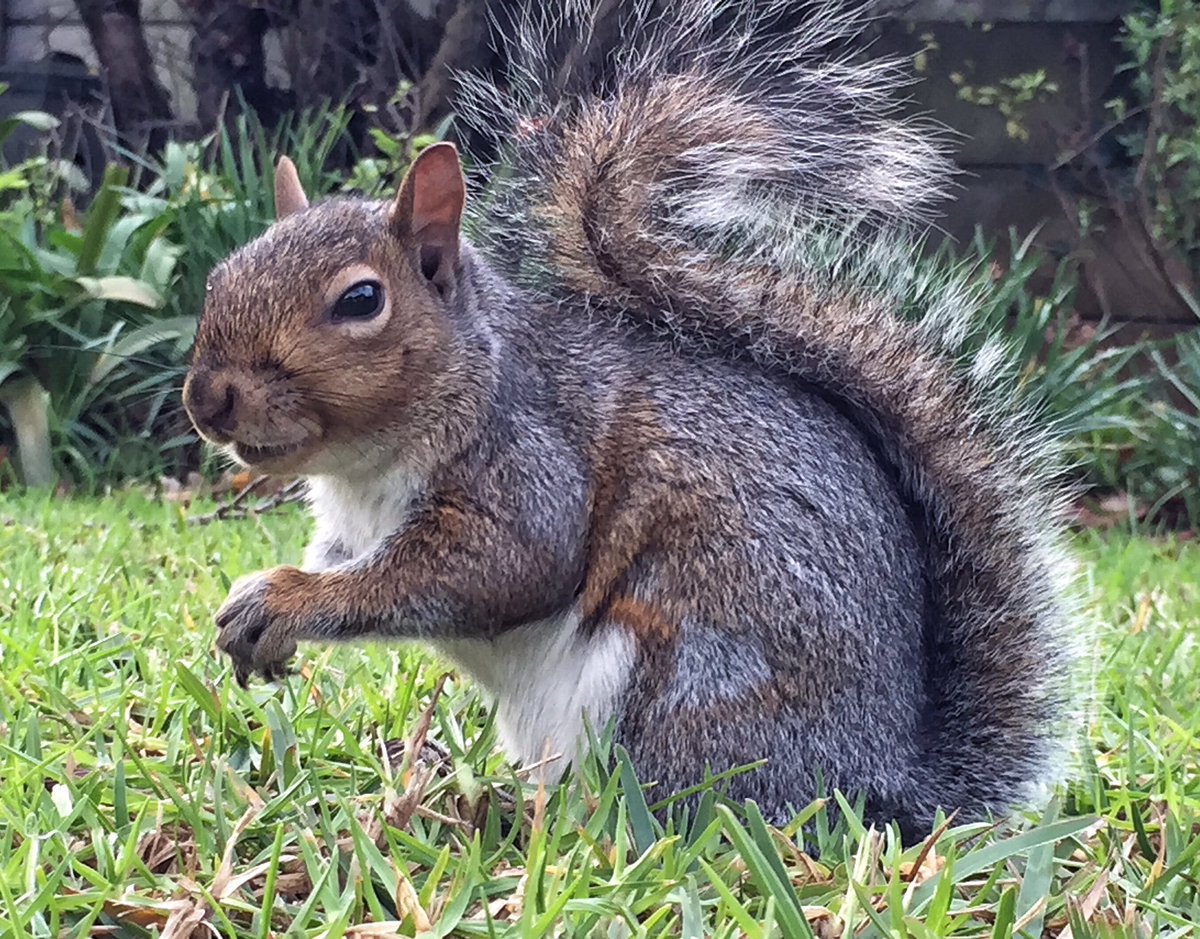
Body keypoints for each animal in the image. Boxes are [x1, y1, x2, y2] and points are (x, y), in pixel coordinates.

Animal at [182, 0, 1082, 838]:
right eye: (220, 274)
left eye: (361, 300)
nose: (206, 398)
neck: (364, 467)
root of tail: (876, 787)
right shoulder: (351, 525)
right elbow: (345, 563)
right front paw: (253, 610)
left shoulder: (526, 462)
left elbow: (496, 567)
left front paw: (283, 602)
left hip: (680, 688)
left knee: (668, 812)